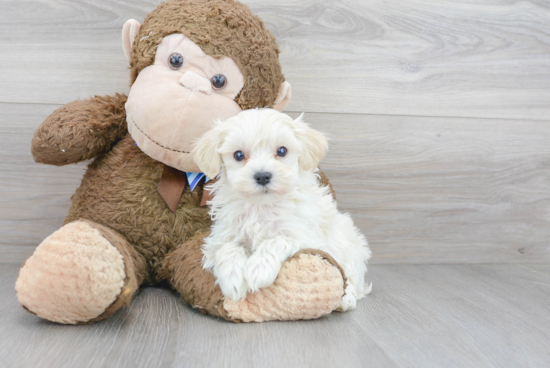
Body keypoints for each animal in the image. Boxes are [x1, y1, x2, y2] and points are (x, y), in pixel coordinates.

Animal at [192, 108, 374, 310]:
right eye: (238, 155)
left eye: (281, 151)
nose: (263, 176)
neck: (262, 207)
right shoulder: (221, 237)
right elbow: (228, 248)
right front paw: (233, 278)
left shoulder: (305, 237)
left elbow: (277, 240)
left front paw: (258, 269)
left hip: (350, 250)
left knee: (351, 279)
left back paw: (346, 299)